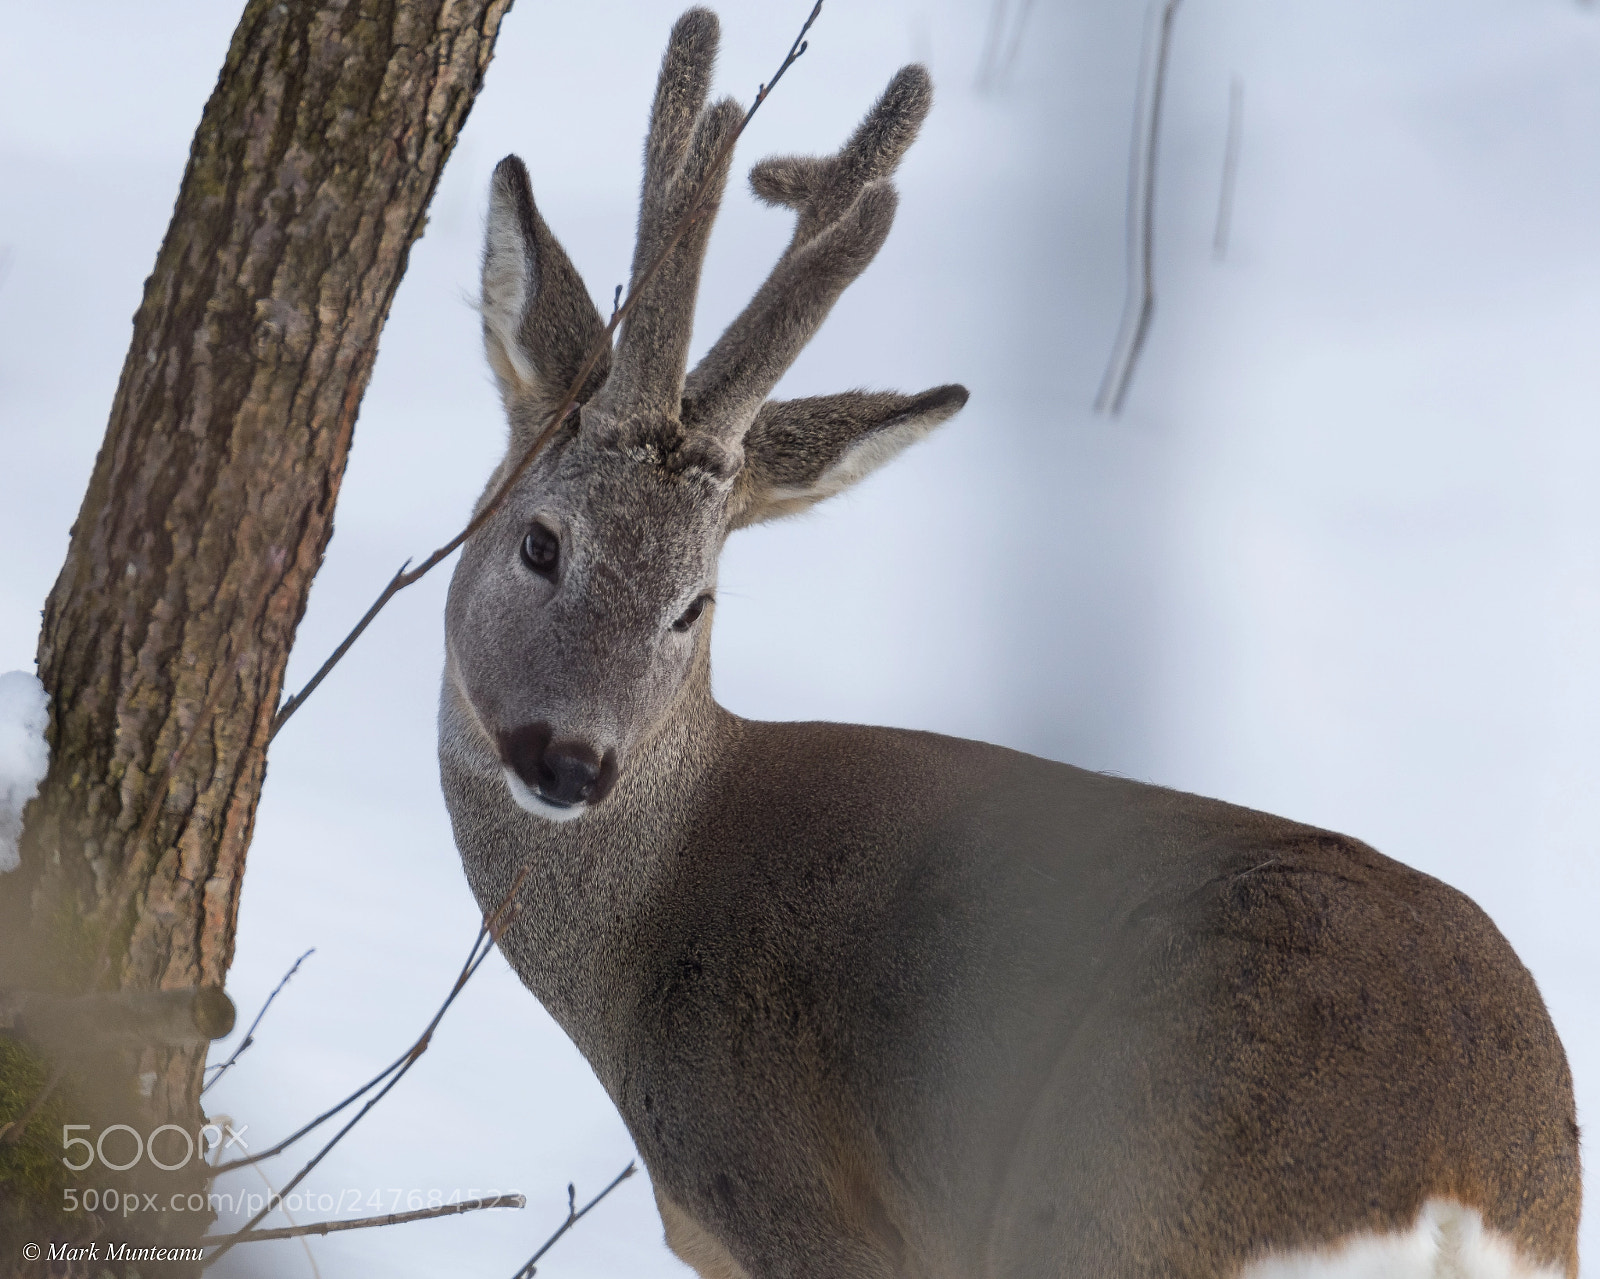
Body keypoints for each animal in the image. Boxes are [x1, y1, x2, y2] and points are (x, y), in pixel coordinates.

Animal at [438, 10, 1581, 1277]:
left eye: (696, 602)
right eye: (542, 543)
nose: (569, 758)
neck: (647, 916)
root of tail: (1460, 1184)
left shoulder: (801, 1215)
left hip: (1107, 1205)